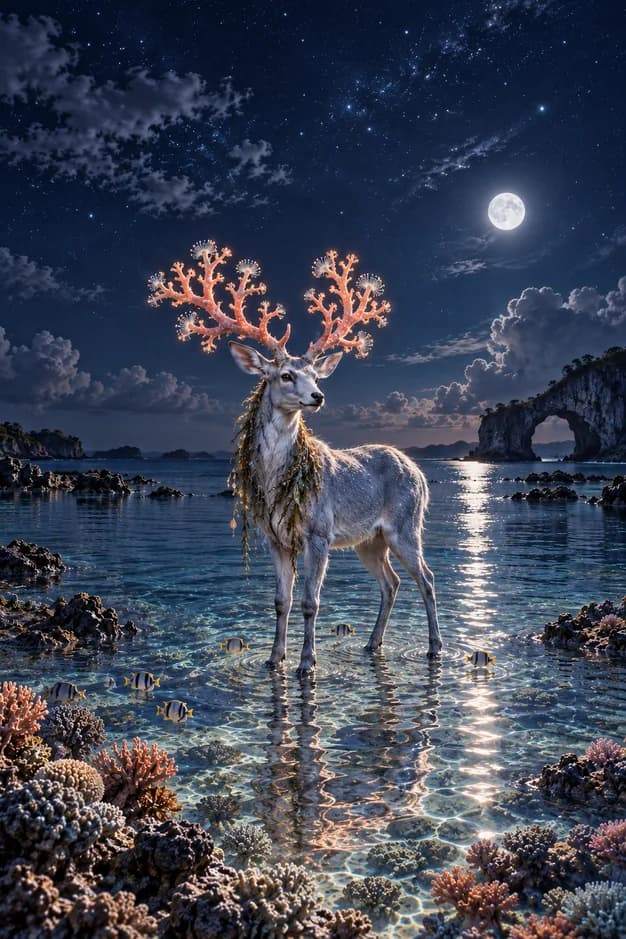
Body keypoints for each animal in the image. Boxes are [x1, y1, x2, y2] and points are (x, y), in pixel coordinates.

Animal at [148, 240, 441, 676]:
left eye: (316, 376)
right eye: (285, 375)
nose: (318, 396)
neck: (275, 481)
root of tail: (419, 472)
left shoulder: (318, 532)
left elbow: (310, 602)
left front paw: (307, 663)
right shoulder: (275, 537)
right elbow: (281, 601)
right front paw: (274, 659)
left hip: (405, 525)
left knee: (427, 578)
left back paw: (435, 647)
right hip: (369, 540)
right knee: (392, 583)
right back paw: (373, 643)